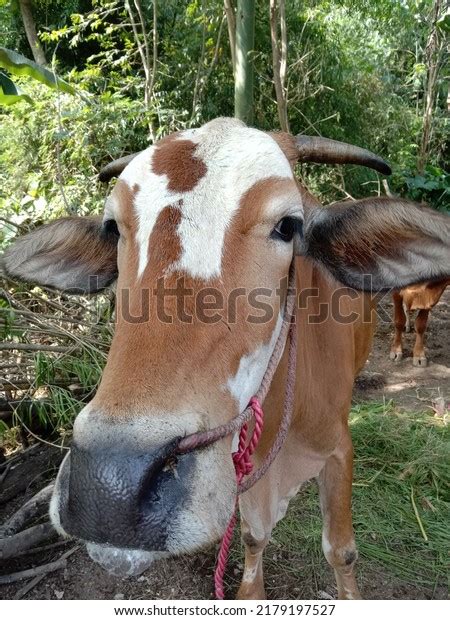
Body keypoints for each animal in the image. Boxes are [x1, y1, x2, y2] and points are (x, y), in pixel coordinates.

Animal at [3, 118, 450, 600]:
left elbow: (341, 552)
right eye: (113, 228)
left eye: (288, 226)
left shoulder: (338, 452)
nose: (108, 490)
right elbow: (254, 537)